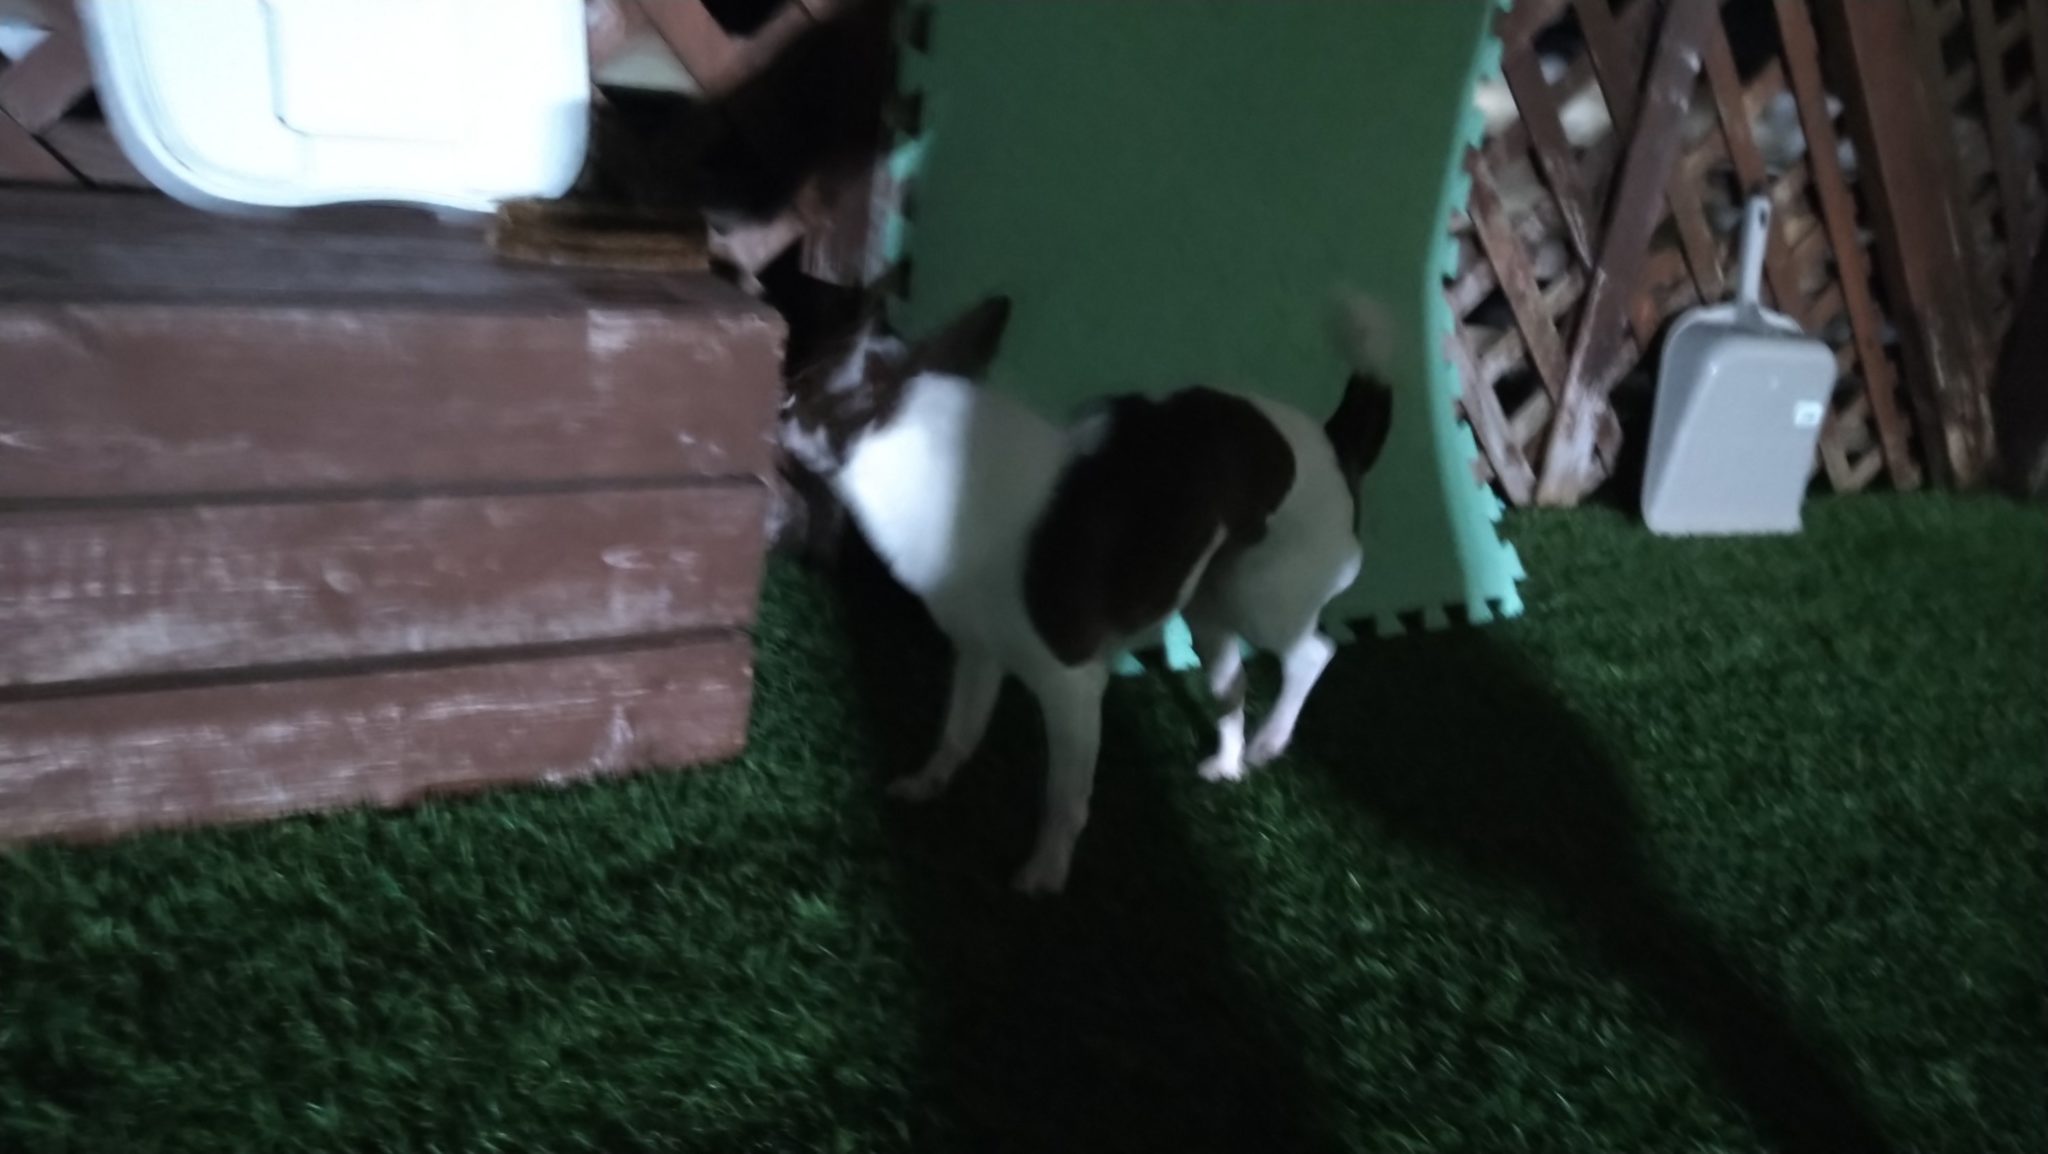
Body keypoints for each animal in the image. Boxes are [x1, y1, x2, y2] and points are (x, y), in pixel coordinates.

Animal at [780, 295, 1395, 893]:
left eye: (803, 386)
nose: (778, 403)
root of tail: (1336, 439)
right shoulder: (978, 654)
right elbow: (958, 732)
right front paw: (928, 783)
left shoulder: (1072, 686)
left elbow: (1064, 797)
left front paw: (1046, 872)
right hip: (1210, 606)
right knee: (1233, 683)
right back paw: (1228, 761)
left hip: (1265, 599)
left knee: (1313, 652)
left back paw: (1271, 740)